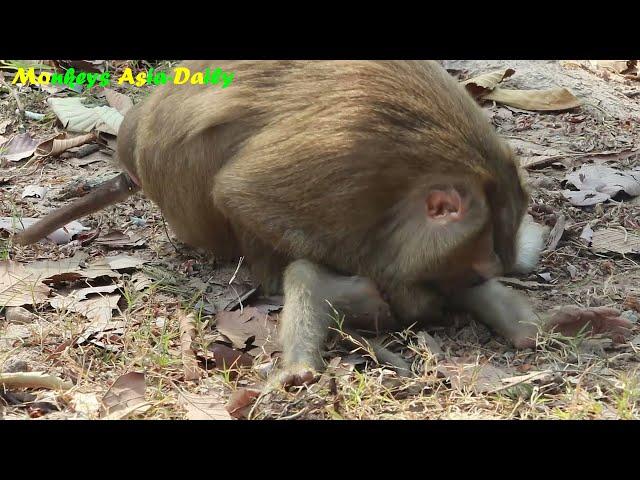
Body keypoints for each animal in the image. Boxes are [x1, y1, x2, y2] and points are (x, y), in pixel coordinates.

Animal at [12, 62, 632, 388]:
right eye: (466, 262)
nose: (446, 301)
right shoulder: (345, 164)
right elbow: (243, 193)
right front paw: (394, 294)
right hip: (187, 196)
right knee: (293, 262)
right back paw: (305, 362)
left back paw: (538, 328)